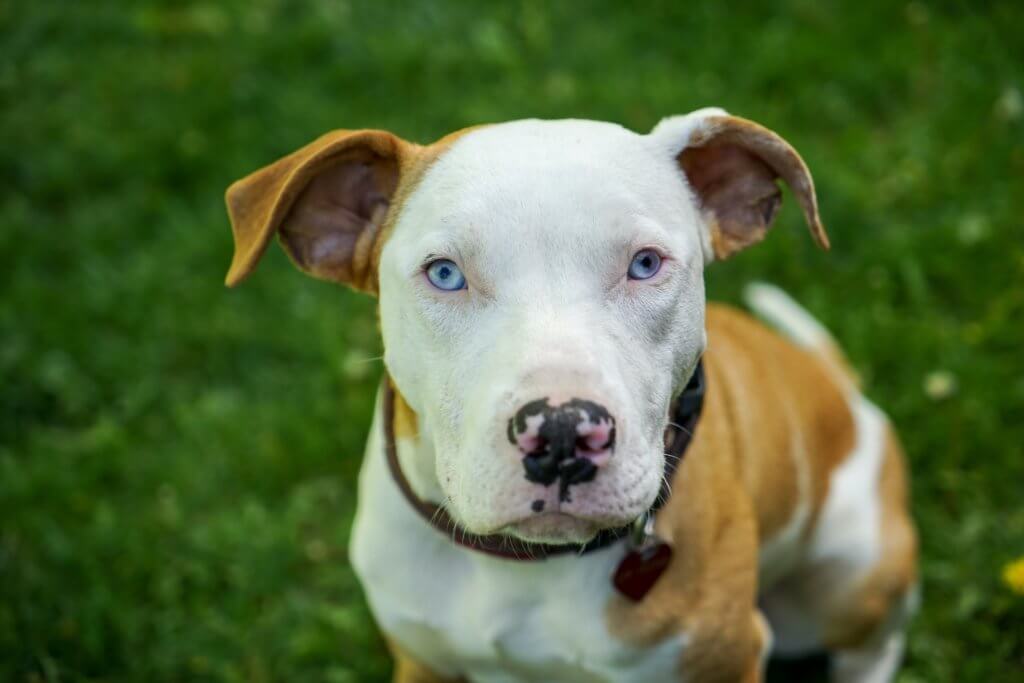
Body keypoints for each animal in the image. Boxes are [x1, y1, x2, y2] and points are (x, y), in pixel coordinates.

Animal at [224, 109, 921, 679]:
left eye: (645, 264)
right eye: (445, 273)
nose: (561, 434)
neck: (521, 564)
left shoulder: (725, 657)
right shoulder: (423, 659)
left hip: (850, 579)